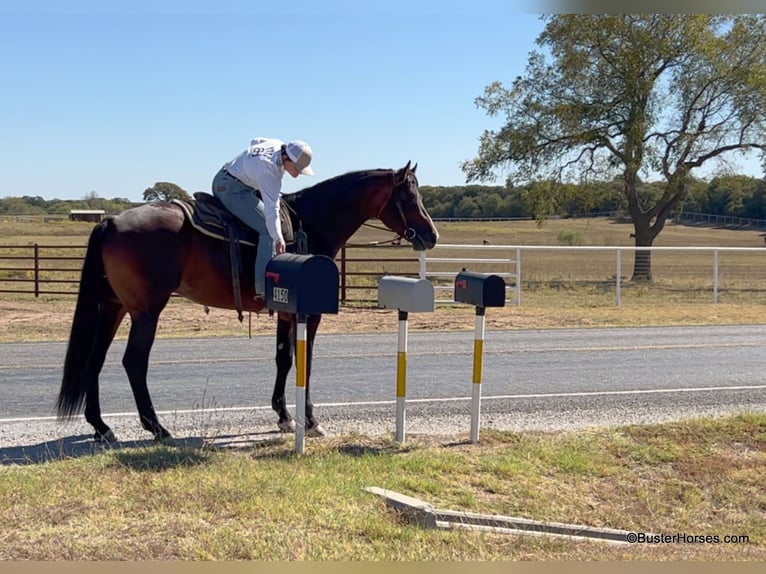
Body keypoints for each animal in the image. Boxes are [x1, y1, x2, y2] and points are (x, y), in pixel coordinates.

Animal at [55, 162, 438, 446]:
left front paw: (284, 416)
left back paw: (102, 427)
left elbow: (284, 359)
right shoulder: (309, 314)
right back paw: (158, 428)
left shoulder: (287, 311)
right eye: (409, 195)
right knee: (134, 362)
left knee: (95, 359)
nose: (431, 235)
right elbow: (306, 363)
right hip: (146, 311)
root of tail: (112, 221)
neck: (311, 224)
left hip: (114, 307)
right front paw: (310, 420)